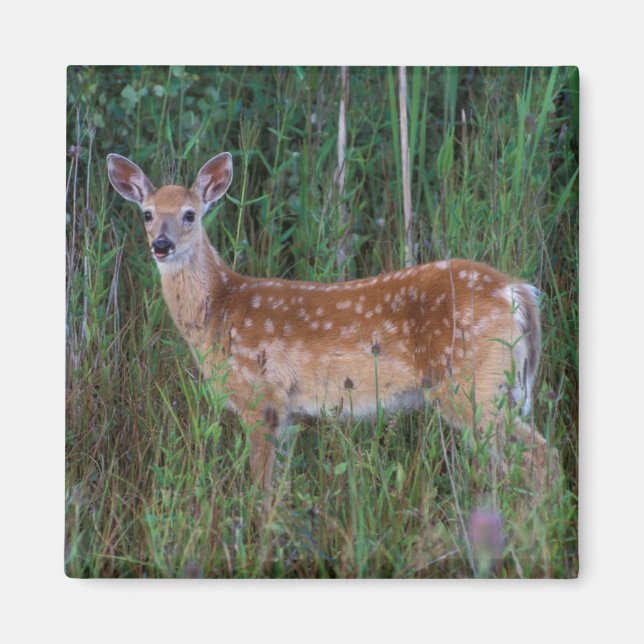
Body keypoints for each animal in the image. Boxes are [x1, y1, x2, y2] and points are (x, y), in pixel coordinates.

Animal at [107, 151, 559, 494]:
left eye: (190, 214)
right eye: (146, 213)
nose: (161, 245)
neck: (219, 309)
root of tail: (518, 291)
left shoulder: (260, 396)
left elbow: (260, 489)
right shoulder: (287, 410)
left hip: (473, 386)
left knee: (541, 457)